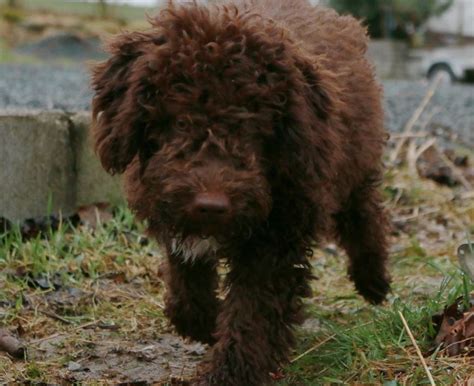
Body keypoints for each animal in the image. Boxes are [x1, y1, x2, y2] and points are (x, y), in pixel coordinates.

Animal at [90, 0, 390, 382]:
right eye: (179, 121)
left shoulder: (279, 234)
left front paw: (229, 373)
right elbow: (186, 280)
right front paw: (203, 323)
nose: (211, 204)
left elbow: (254, 312)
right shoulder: (173, 212)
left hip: (355, 160)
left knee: (363, 212)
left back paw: (374, 280)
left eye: (252, 127)